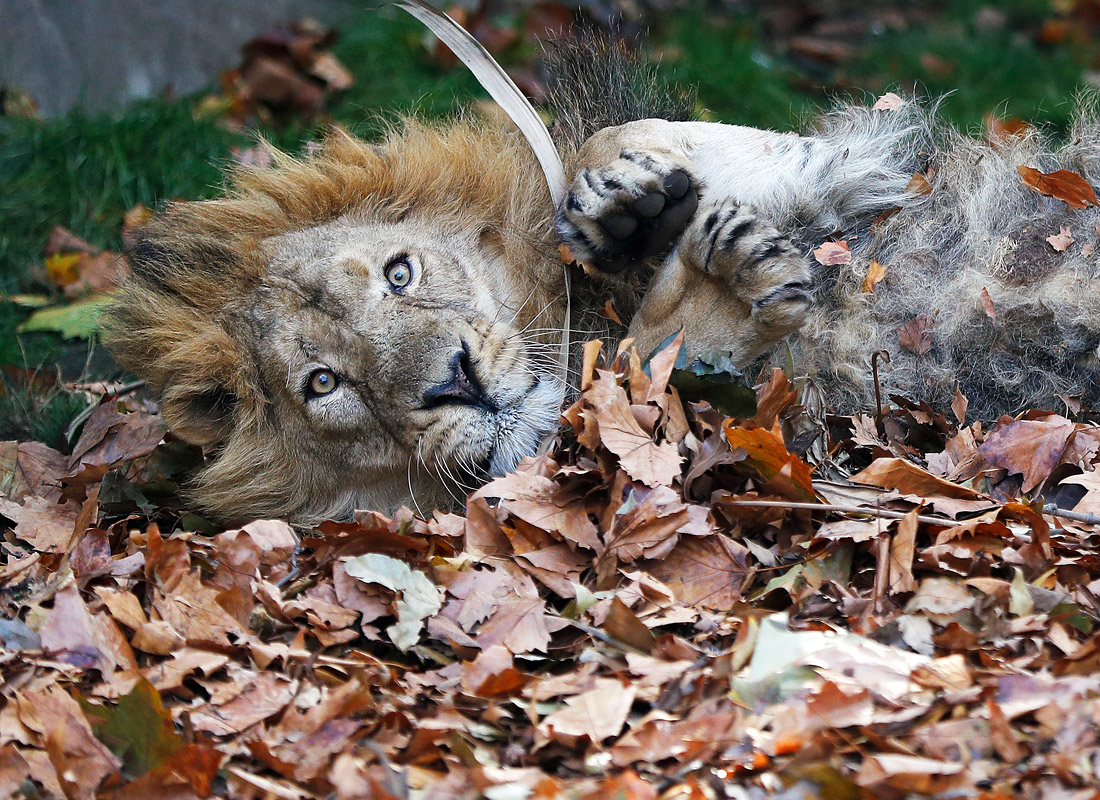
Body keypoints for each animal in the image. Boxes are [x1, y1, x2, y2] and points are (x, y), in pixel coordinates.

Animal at [107, 46, 1100, 522]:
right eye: (324, 384)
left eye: (399, 273)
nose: (454, 382)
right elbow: (651, 374)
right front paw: (713, 291)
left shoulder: (858, 166)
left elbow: (626, 143)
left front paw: (624, 202)